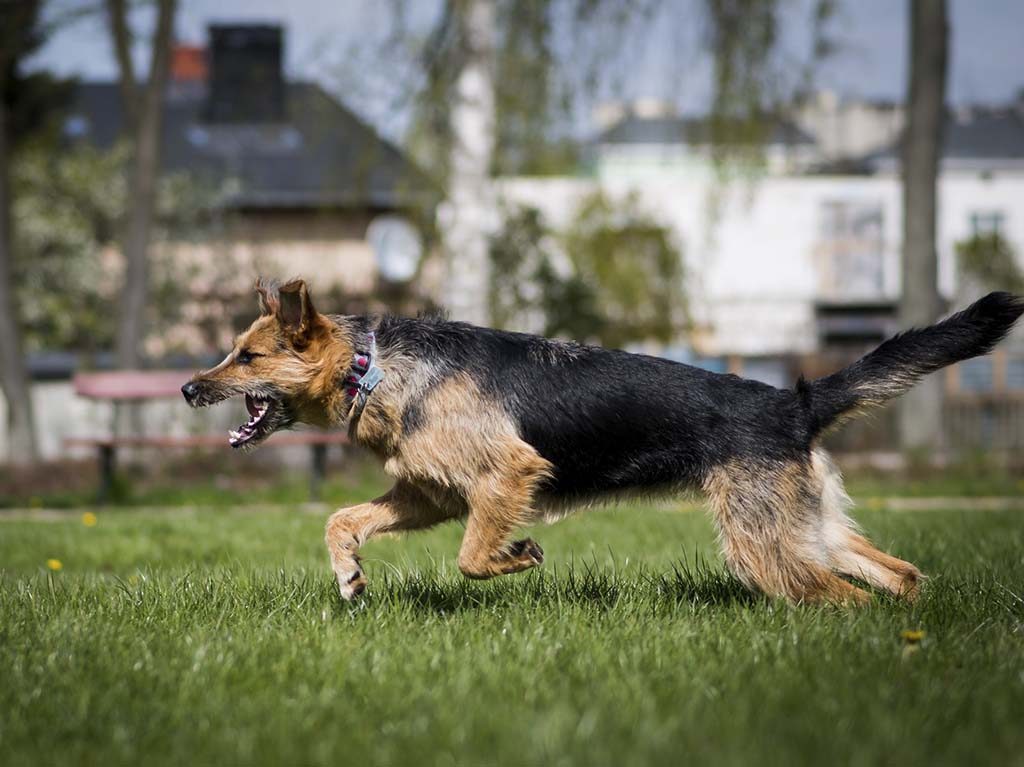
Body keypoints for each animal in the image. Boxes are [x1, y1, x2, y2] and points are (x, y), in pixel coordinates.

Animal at [182, 280, 1024, 606]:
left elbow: (472, 555)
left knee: (844, 594)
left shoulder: (505, 475)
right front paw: (350, 574)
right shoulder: (431, 494)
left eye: (247, 357)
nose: (189, 388)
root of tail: (795, 399)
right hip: (803, 526)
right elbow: (342, 519)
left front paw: (518, 555)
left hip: (761, 542)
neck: (373, 364)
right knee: (896, 575)